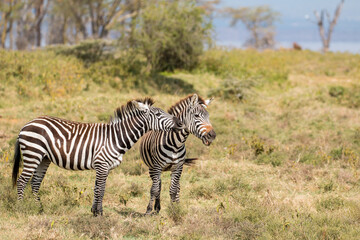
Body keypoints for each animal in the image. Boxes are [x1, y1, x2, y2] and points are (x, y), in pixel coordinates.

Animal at [12, 97, 184, 216]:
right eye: (158, 114)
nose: (180, 123)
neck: (115, 137)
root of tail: (26, 125)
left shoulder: (104, 166)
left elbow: (98, 189)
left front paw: (94, 211)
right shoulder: (102, 164)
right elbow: (100, 190)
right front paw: (100, 213)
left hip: (44, 158)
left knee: (35, 183)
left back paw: (39, 209)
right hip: (33, 154)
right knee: (22, 181)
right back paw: (21, 207)